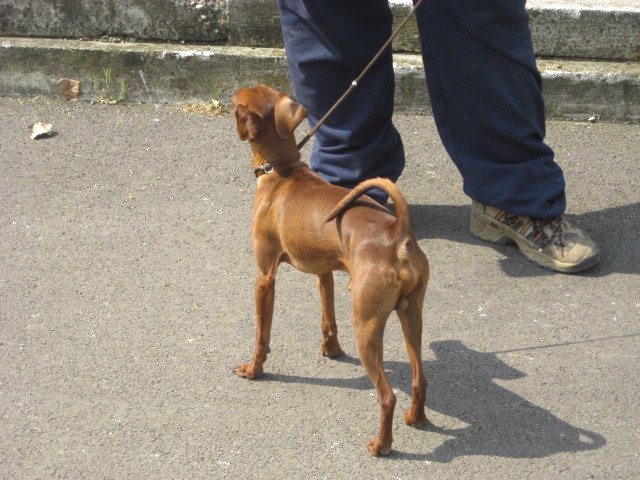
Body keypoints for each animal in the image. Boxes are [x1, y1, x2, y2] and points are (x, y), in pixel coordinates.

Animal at [231, 84, 430, 456]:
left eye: (236, 103)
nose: (229, 100)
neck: (282, 171)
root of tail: (399, 233)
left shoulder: (264, 278)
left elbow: (261, 335)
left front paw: (254, 369)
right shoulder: (324, 273)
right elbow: (328, 317)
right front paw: (332, 350)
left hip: (366, 323)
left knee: (387, 396)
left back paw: (382, 445)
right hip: (412, 314)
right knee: (419, 378)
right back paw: (416, 418)